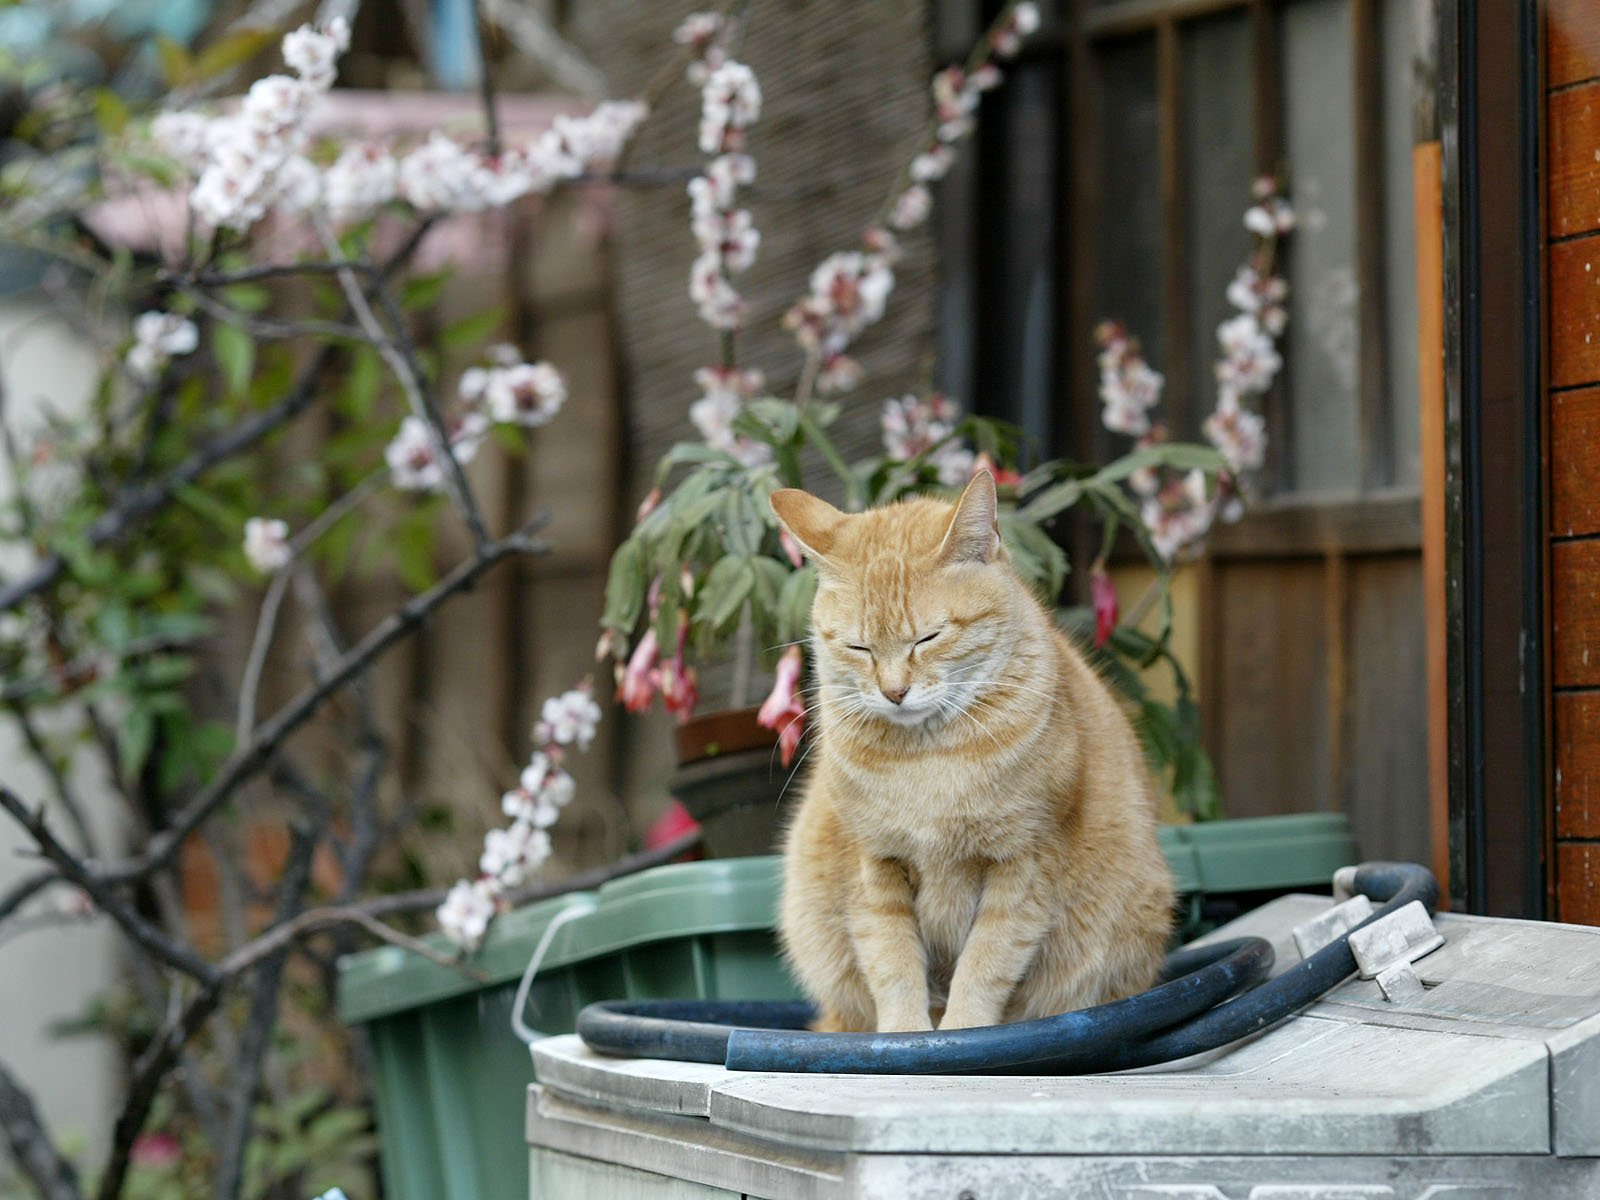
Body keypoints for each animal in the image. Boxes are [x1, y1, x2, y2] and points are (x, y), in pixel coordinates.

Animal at [768, 470, 1171, 1036]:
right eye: (858, 648)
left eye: (928, 638)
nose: (894, 692)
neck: (927, 760)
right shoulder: (876, 867)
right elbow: (892, 964)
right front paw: (905, 1038)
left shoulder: (1023, 867)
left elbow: (985, 964)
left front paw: (961, 1033)